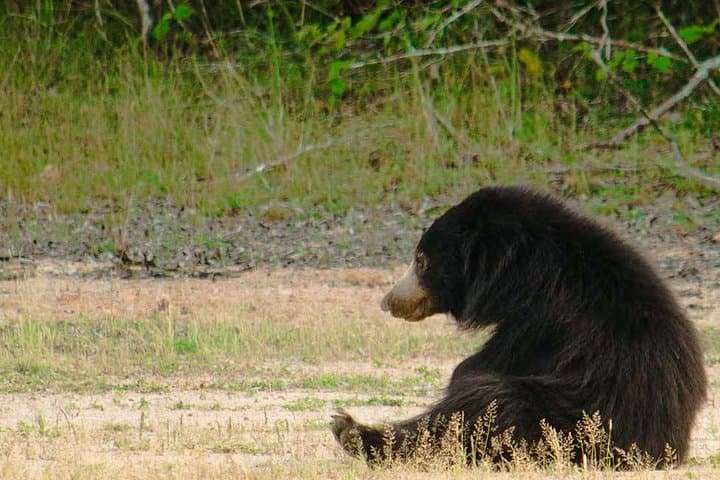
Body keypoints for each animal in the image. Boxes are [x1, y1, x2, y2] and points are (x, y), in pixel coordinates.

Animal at [331, 185, 707, 466]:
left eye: (421, 261)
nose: (388, 301)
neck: (522, 273)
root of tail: (666, 444)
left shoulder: (543, 319)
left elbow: (475, 369)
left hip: (565, 421)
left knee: (487, 404)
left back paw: (351, 431)